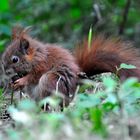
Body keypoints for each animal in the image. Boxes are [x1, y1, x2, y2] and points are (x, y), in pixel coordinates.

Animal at [1, 26, 140, 106]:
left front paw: (21, 80)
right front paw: (13, 83)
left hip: (50, 80)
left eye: (15, 59)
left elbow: (34, 76)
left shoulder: (43, 65)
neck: (36, 56)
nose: (4, 69)